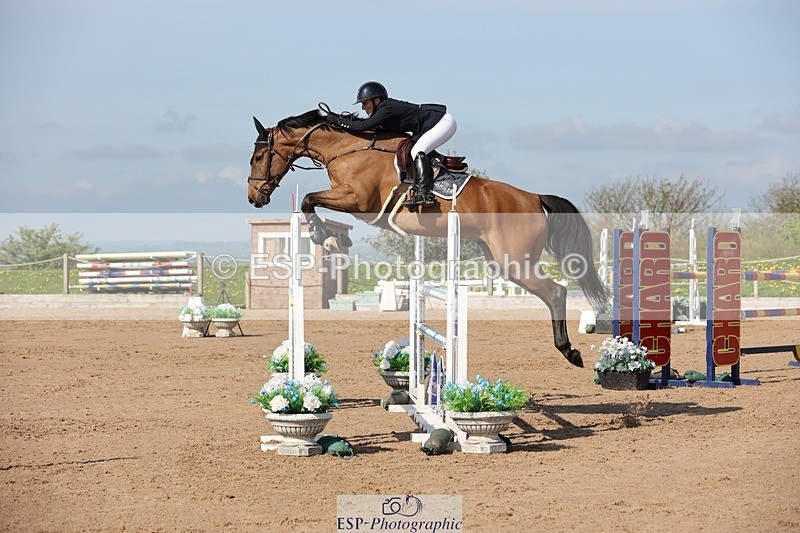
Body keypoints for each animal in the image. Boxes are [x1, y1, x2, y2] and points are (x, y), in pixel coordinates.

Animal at [247, 109, 608, 368]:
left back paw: (570, 351)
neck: (347, 149)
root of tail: (534, 198)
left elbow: (309, 199)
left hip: (515, 261)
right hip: (499, 258)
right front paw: (338, 240)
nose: (254, 198)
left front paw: (324, 237)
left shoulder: (358, 200)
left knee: (556, 292)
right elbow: (313, 202)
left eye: (257, 157)